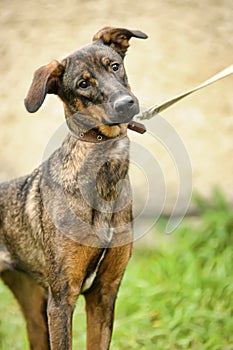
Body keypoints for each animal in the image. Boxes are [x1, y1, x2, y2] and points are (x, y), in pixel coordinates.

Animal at [0, 26, 147, 348]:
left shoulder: (104, 292)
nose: (125, 104)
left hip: (33, 305)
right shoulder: (62, 298)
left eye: (114, 66)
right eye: (83, 84)